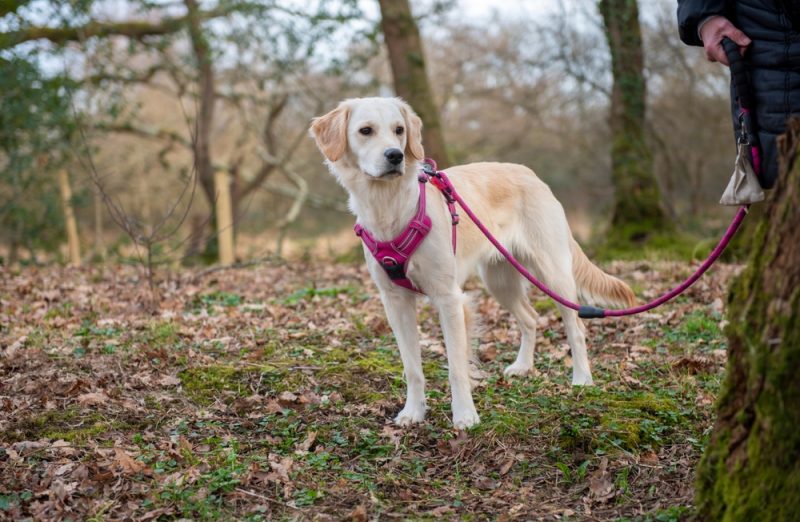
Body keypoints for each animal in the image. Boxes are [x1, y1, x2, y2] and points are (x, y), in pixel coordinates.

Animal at [310, 96, 636, 426]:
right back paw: (523, 366)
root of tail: (531, 174)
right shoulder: (395, 301)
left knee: (576, 327)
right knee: (531, 318)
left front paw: (465, 415)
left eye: (399, 130)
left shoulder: (449, 299)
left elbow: (456, 367)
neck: (389, 204)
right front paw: (413, 411)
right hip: (500, 280)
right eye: (366, 130)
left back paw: (582, 378)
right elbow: (412, 368)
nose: (395, 155)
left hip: (552, 273)